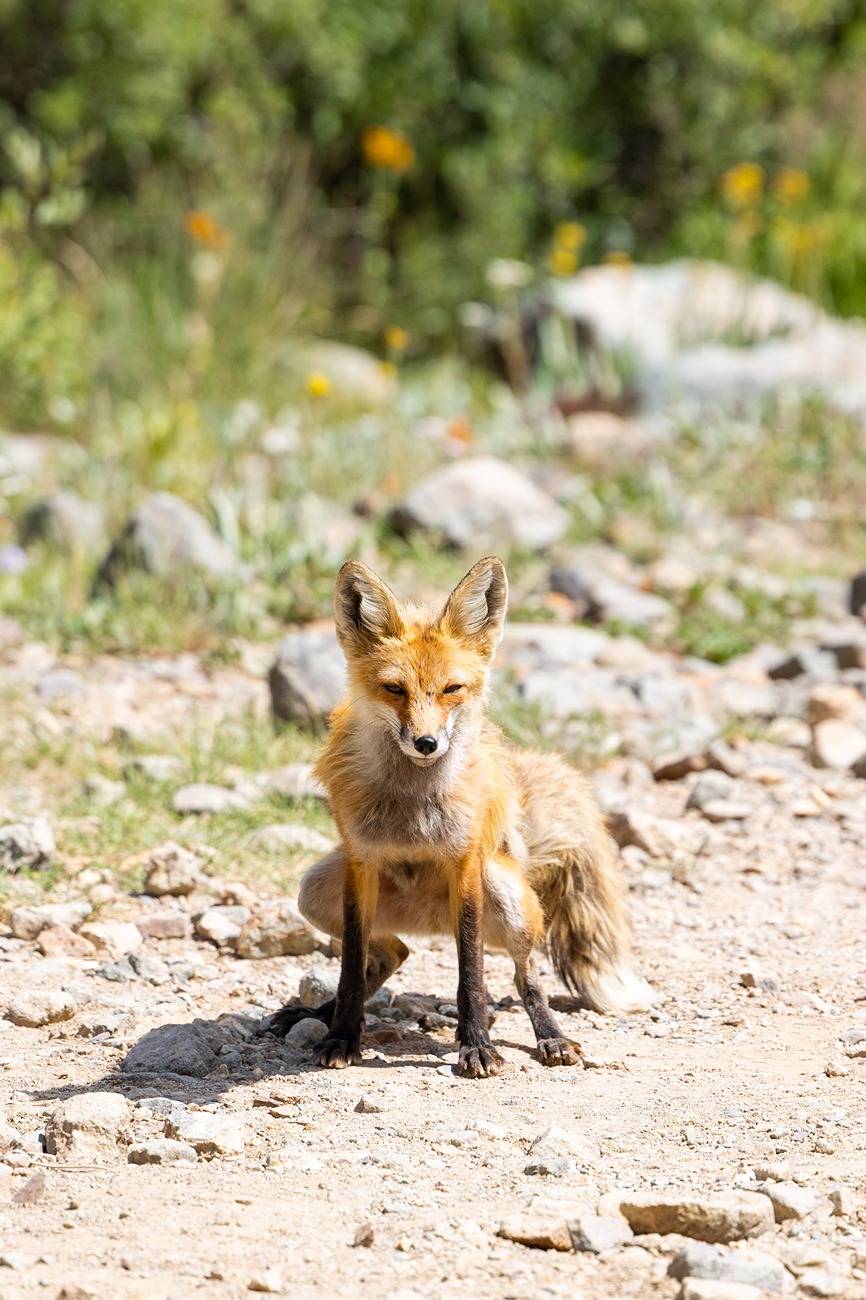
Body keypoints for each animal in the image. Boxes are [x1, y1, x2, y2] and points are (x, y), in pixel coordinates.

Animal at [267, 559, 647, 1076]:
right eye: (394, 689)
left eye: (451, 689)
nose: (427, 743)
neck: (412, 809)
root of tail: (427, 920)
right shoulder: (360, 865)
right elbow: (349, 971)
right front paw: (342, 1036)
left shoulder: (464, 865)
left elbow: (472, 973)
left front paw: (476, 1045)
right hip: (315, 890)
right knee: (392, 953)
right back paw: (322, 1013)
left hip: (506, 896)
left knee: (526, 977)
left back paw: (550, 1037)